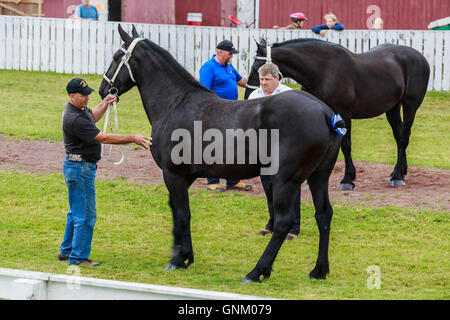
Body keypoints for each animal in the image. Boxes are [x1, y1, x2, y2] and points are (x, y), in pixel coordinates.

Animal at [99, 25, 344, 282]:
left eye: (116, 56)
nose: (103, 90)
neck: (176, 104)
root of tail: (326, 113)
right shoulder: (185, 176)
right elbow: (176, 210)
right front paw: (184, 255)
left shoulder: (173, 174)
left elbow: (183, 214)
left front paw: (178, 260)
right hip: (318, 176)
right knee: (323, 214)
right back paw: (318, 270)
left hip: (285, 180)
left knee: (283, 222)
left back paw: (257, 271)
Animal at [244, 39, 430, 191]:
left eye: (257, 68)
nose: (248, 96)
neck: (323, 71)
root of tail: (420, 57)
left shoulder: (344, 115)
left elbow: (346, 145)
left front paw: (347, 179)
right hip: (392, 107)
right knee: (399, 137)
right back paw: (400, 171)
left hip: (410, 106)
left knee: (404, 137)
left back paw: (397, 176)